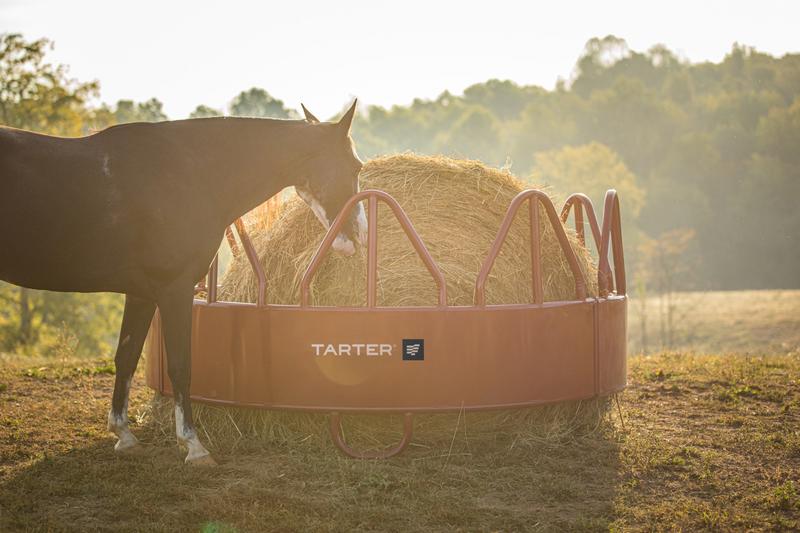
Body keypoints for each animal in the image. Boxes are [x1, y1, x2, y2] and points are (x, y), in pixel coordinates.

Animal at [0, 101, 366, 465]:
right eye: (356, 166)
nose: (358, 236)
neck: (189, 174)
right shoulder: (175, 289)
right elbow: (180, 365)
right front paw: (193, 445)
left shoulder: (141, 295)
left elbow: (127, 357)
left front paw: (124, 435)